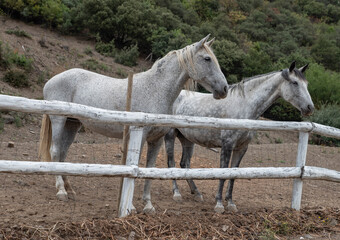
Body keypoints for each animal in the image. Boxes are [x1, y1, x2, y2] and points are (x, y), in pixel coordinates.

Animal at [37, 34, 228, 213]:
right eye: (207, 59)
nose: (224, 89)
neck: (155, 90)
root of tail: (51, 81)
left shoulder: (156, 140)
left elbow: (150, 168)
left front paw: (148, 205)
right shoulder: (139, 136)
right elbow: (133, 167)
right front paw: (132, 208)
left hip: (73, 123)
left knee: (63, 153)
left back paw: (70, 189)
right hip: (59, 120)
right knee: (55, 151)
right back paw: (61, 191)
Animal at [163, 62, 314, 214]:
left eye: (306, 84)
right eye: (295, 82)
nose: (310, 108)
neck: (244, 105)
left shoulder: (241, 148)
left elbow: (233, 174)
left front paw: (230, 203)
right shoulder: (227, 146)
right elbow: (223, 173)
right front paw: (219, 204)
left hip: (187, 140)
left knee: (185, 164)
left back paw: (197, 193)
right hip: (170, 136)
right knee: (171, 163)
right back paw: (177, 193)